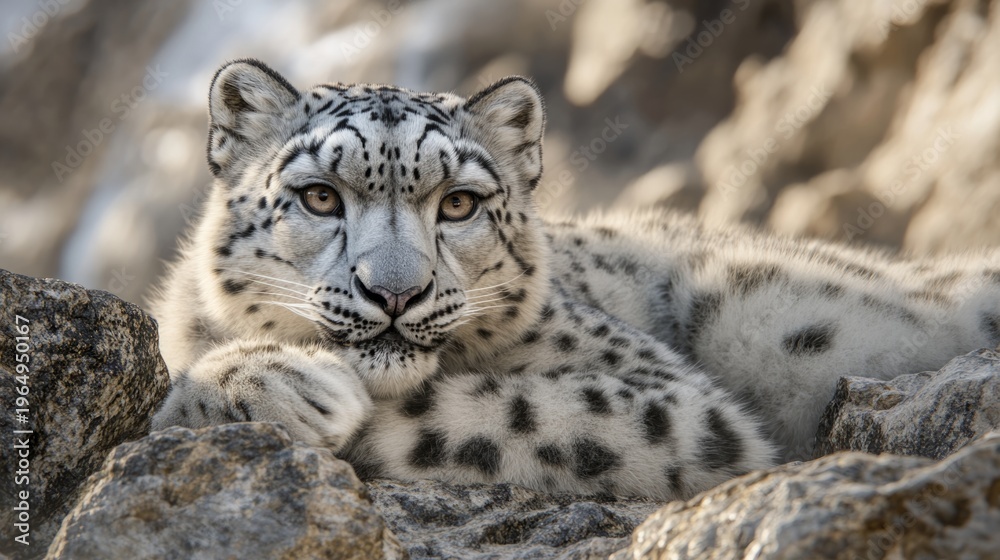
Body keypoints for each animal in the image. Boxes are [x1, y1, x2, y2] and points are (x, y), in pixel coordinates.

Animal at [150, 58, 1000, 501]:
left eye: (459, 203)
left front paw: (305, 390)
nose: (396, 293)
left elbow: (492, 408)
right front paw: (258, 381)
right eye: (321, 196)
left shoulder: (682, 407)